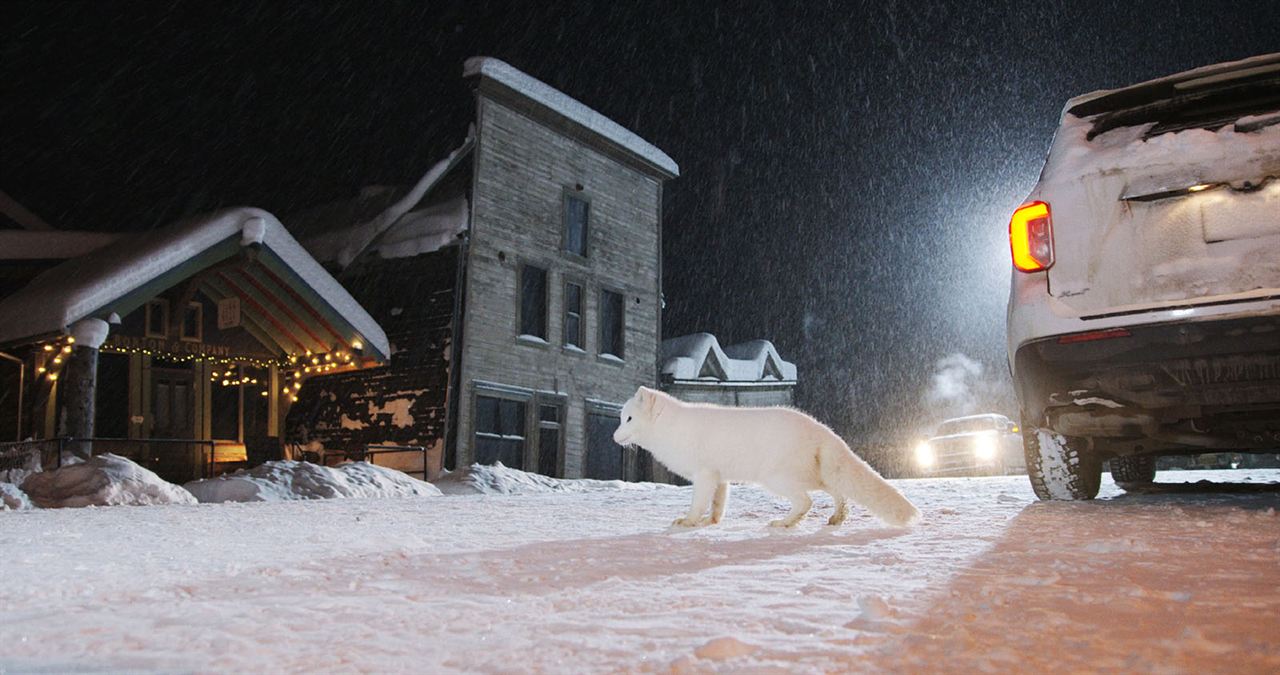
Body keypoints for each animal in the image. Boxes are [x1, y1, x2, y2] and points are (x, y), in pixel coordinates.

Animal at [611, 389, 921, 530]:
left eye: (629, 419)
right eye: (621, 418)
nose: (614, 438)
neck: (672, 428)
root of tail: (821, 429)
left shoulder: (705, 474)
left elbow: (698, 503)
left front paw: (688, 522)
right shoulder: (720, 477)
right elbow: (718, 504)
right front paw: (712, 522)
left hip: (777, 479)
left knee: (806, 502)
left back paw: (784, 524)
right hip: (812, 475)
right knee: (837, 492)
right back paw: (836, 518)